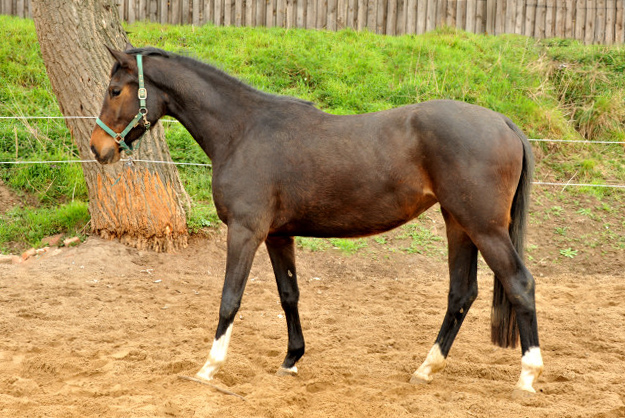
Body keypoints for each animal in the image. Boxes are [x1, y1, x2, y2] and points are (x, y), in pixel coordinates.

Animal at [90, 45, 544, 396]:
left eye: (115, 90)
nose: (97, 149)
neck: (243, 131)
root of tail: (503, 122)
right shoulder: (277, 236)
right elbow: (289, 295)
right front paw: (291, 360)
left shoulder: (245, 232)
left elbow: (229, 298)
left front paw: (208, 368)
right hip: (458, 223)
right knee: (461, 294)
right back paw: (426, 369)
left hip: (484, 227)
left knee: (519, 284)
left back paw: (527, 376)